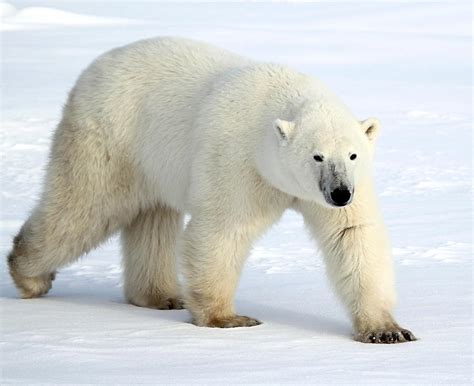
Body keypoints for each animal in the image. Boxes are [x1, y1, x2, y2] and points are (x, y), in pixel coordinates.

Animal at [7, 37, 414, 344]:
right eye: (317, 156)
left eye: (352, 154)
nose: (340, 193)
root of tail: (94, 67)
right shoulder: (238, 161)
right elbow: (223, 229)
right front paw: (228, 319)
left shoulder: (351, 185)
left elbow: (352, 234)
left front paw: (387, 330)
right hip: (111, 139)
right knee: (83, 208)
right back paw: (29, 275)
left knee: (152, 220)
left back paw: (160, 295)